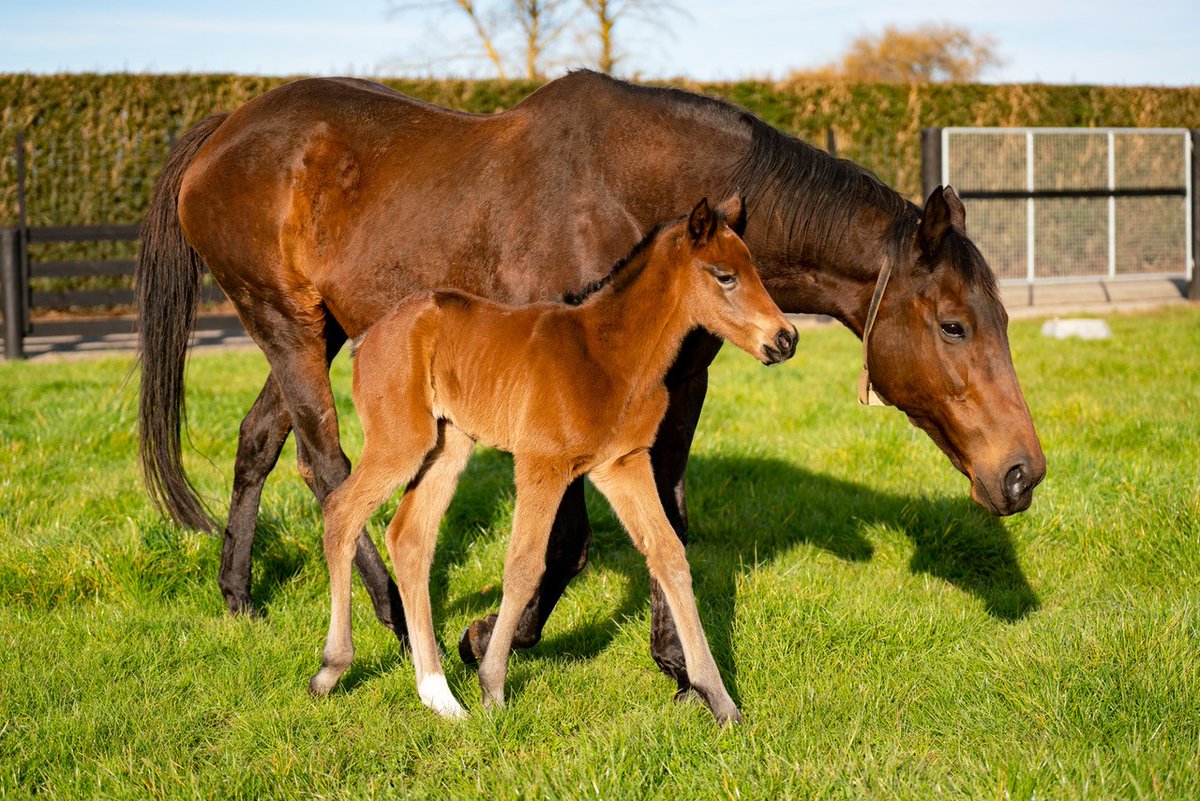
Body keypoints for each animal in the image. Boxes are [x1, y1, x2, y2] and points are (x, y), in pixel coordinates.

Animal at [308, 197, 792, 723]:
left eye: (753, 269)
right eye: (725, 276)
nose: (786, 339)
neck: (610, 354)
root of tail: (368, 337)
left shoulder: (623, 465)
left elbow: (670, 557)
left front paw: (720, 700)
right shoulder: (542, 463)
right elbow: (524, 564)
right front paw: (492, 686)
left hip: (448, 444)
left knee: (409, 538)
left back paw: (439, 695)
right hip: (402, 442)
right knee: (342, 512)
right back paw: (332, 669)